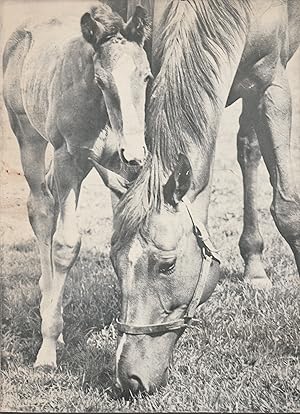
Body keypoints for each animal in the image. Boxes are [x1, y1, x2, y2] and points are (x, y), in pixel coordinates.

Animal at [3, 2, 151, 368]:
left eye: (146, 76)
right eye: (101, 80)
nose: (135, 153)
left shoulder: (119, 168)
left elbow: (124, 240)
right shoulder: (69, 159)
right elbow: (65, 244)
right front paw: (48, 348)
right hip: (29, 136)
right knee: (41, 208)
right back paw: (49, 313)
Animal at [110, 0, 300, 394]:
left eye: (166, 265)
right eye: (114, 264)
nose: (129, 378)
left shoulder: (272, 87)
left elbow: (287, 210)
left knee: (248, 149)